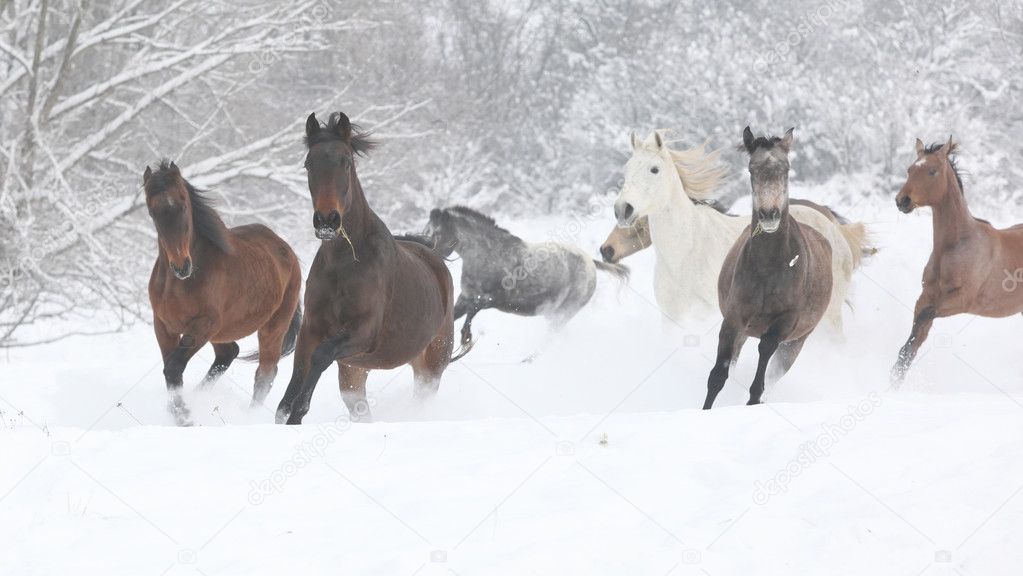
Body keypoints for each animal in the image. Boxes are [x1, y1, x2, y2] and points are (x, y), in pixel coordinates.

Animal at [146, 159, 300, 425]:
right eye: (152, 212)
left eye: (183, 204)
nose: (181, 266)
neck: (180, 284)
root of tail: (287, 250)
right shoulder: (163, 326)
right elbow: (171, 370)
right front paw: (180, 413)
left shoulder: (204, 325)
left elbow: (173, 368)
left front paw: (185, 416)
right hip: (222, 333)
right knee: (229, 354)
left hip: (272, 328)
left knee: (265, 374)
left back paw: (248, 417)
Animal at [274, 112, 468, 425]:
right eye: (308, 163)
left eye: (346, 161)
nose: (326, 220)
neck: (344, 264)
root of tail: (435, 256)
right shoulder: (311, 329)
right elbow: (292, 386)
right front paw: (287, 416)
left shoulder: (364, 333)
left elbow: (320, 356)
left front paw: (298, 414)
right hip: (355, 370)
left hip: (431, 363)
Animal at [425, 207, 630, 351]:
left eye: (436, 233)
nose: (428, 257)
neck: (488, 254)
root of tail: (590, 263)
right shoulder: (465, 297)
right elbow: (453, 316)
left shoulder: (486, 300)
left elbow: (466, 322)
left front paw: (465, 341)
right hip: (554, 314)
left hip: (562, 314)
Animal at [609, 129, 867, 333]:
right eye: (627, 168)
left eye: (654, 169)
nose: (623, 209)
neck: (684, 253)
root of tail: (833, 228)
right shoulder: (672, 318)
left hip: (828, 317)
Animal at [887, 137, 1023, 384]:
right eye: (910, 169)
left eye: (932, 171)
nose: (902, 201)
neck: (955, 246)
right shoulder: (927, 296)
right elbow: (912, 340)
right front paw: (894, 379)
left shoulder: (961, 300)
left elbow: (923, 318)